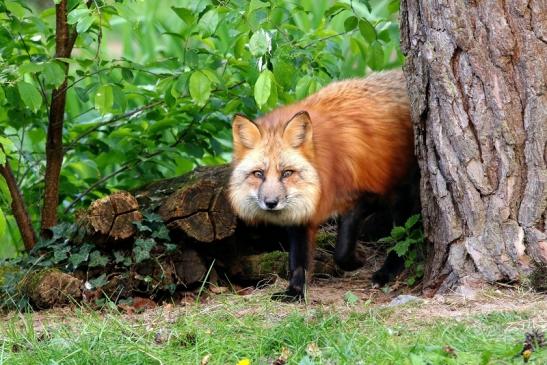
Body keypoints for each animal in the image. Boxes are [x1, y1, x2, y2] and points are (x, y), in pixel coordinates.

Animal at [229, 71, 418, 302]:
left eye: (287, 173)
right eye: (258, 174)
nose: (271, 203)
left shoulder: (365, 194)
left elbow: (342, 250)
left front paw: (358, 261)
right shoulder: (301, 215)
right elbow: (298, 261)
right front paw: (294, 291)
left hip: (401, 192)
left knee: (405, 235)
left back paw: (387, 271)